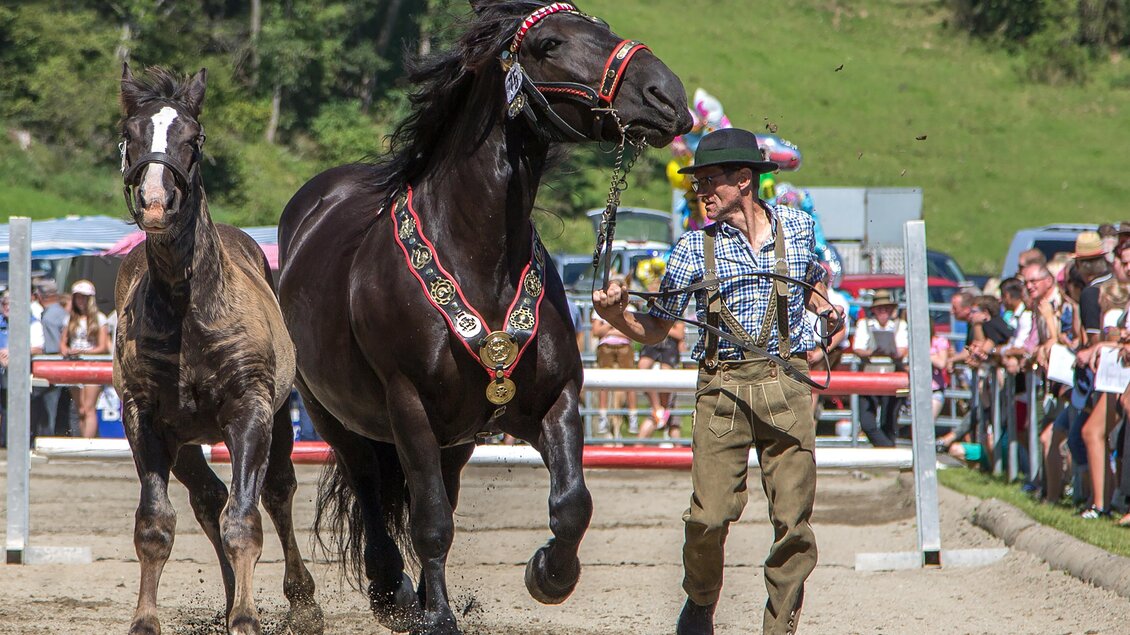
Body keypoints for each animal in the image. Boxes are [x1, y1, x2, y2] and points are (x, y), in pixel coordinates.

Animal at [113, 65, 324, 635]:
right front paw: (146, 620)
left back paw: (300, 602)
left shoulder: (250, 411)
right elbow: (155, 524)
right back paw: (231, 596)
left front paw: (248, 617)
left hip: (278, 420)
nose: (156, 203)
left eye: (193, 138)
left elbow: (245, 519)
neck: (188, 308)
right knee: (209, 499)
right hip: (186, 442)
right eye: (130, 134)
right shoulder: (145, 419)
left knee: (275, 492)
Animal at [277, 1, 691, 633]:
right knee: (372, 491)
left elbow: (572, 504)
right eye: (549, 44)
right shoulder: (409, 408)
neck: (479, 261)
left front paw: (548, 574)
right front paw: (438, 617)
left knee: (438, 493)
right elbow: (428, 521)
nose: (666, 95)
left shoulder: (554, 399)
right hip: (335, 417)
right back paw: (392, 593)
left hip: (457, 438)